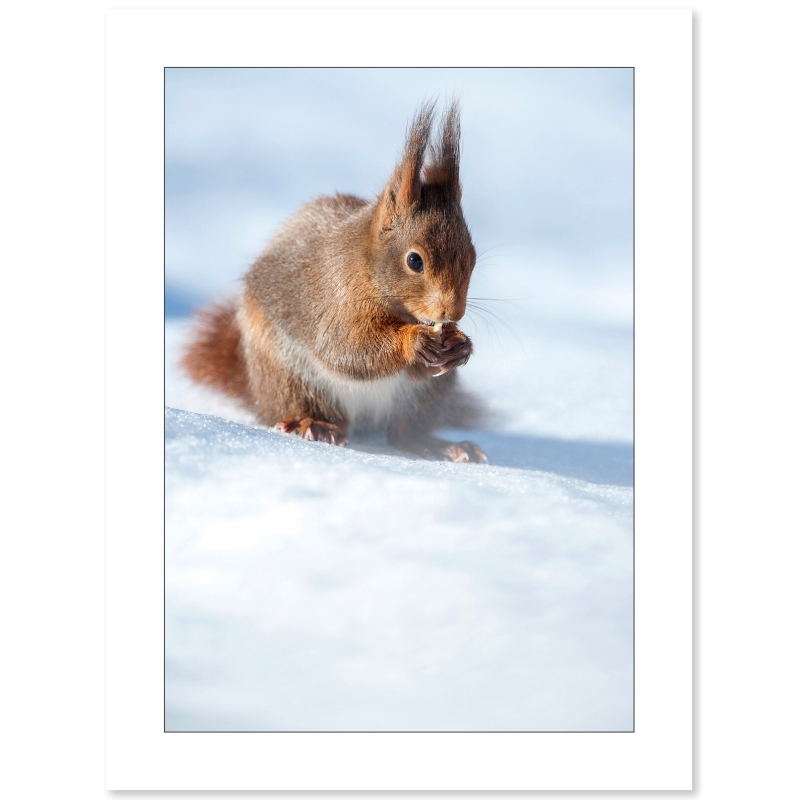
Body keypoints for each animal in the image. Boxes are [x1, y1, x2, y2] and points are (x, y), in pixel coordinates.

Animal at [180, 100, 489, 464]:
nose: (451, 314)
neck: (367, 269)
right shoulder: (333, 298)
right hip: (291, 378)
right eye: (415, 260)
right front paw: (412, 340)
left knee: (402, 433)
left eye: (473, 257)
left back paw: (440, 445)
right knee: (310, 408)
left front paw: (461, 346)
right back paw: (316, 425)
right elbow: (349, 347)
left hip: (425, 396)